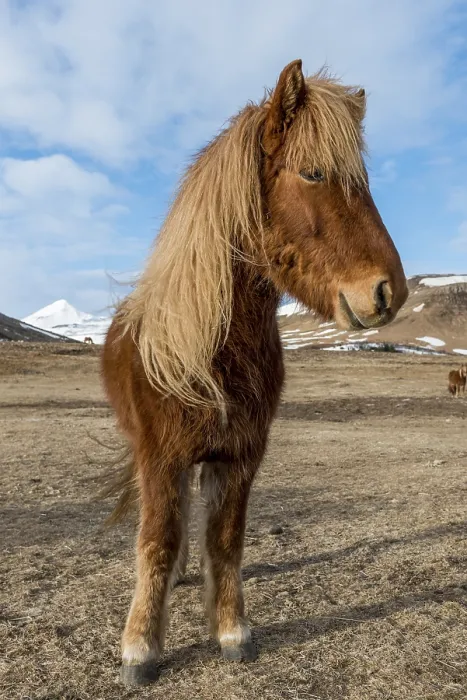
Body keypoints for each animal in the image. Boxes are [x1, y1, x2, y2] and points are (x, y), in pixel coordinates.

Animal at [101, 59, 408, 686]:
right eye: (313, 172)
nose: (389, 293)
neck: (207, 351)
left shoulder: (240, 456)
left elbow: (225, 541)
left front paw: (231, 632)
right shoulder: (160, 456)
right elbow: (156, 541)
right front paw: (140, 647)